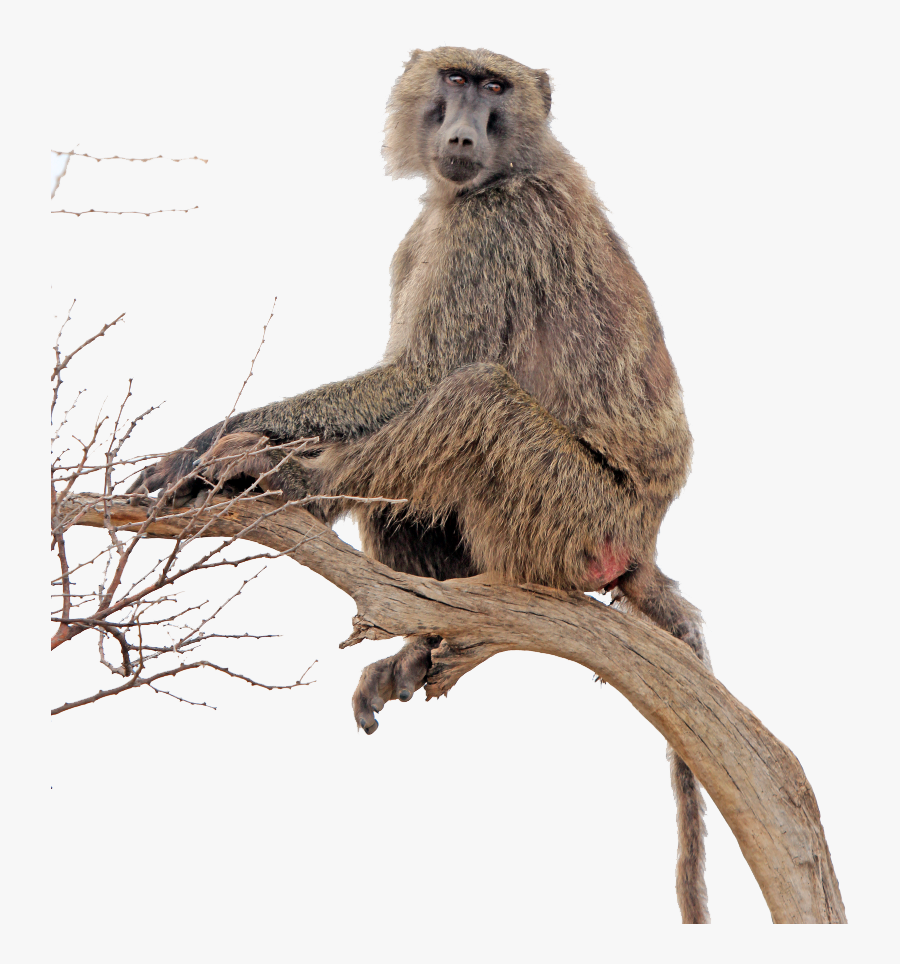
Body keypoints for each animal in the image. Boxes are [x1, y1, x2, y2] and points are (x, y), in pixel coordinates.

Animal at [129, 47, 712, 923]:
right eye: (457, 79)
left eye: (496, 87)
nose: (464, 132)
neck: (485, 182)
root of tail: (644, 537)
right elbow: (407, 381)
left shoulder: (493, 229)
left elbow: (423, 375)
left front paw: (214, 445)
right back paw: (425, 639)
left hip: (571, 513)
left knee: (473, 395)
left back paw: (293, 485)